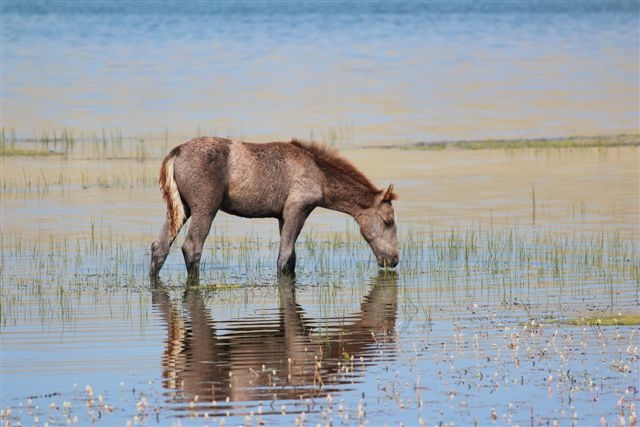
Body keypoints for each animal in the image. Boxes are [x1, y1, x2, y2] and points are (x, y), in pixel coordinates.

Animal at [149, 137, 398, 282]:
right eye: (388, 221)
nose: (394, 259)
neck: (321, 179)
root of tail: (176, 152)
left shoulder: (282, 216)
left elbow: (292, 259)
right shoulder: (298, 208)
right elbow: (284, 257)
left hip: (181, 208)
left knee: (159, 246)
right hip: (205, 207)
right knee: (192, 247)